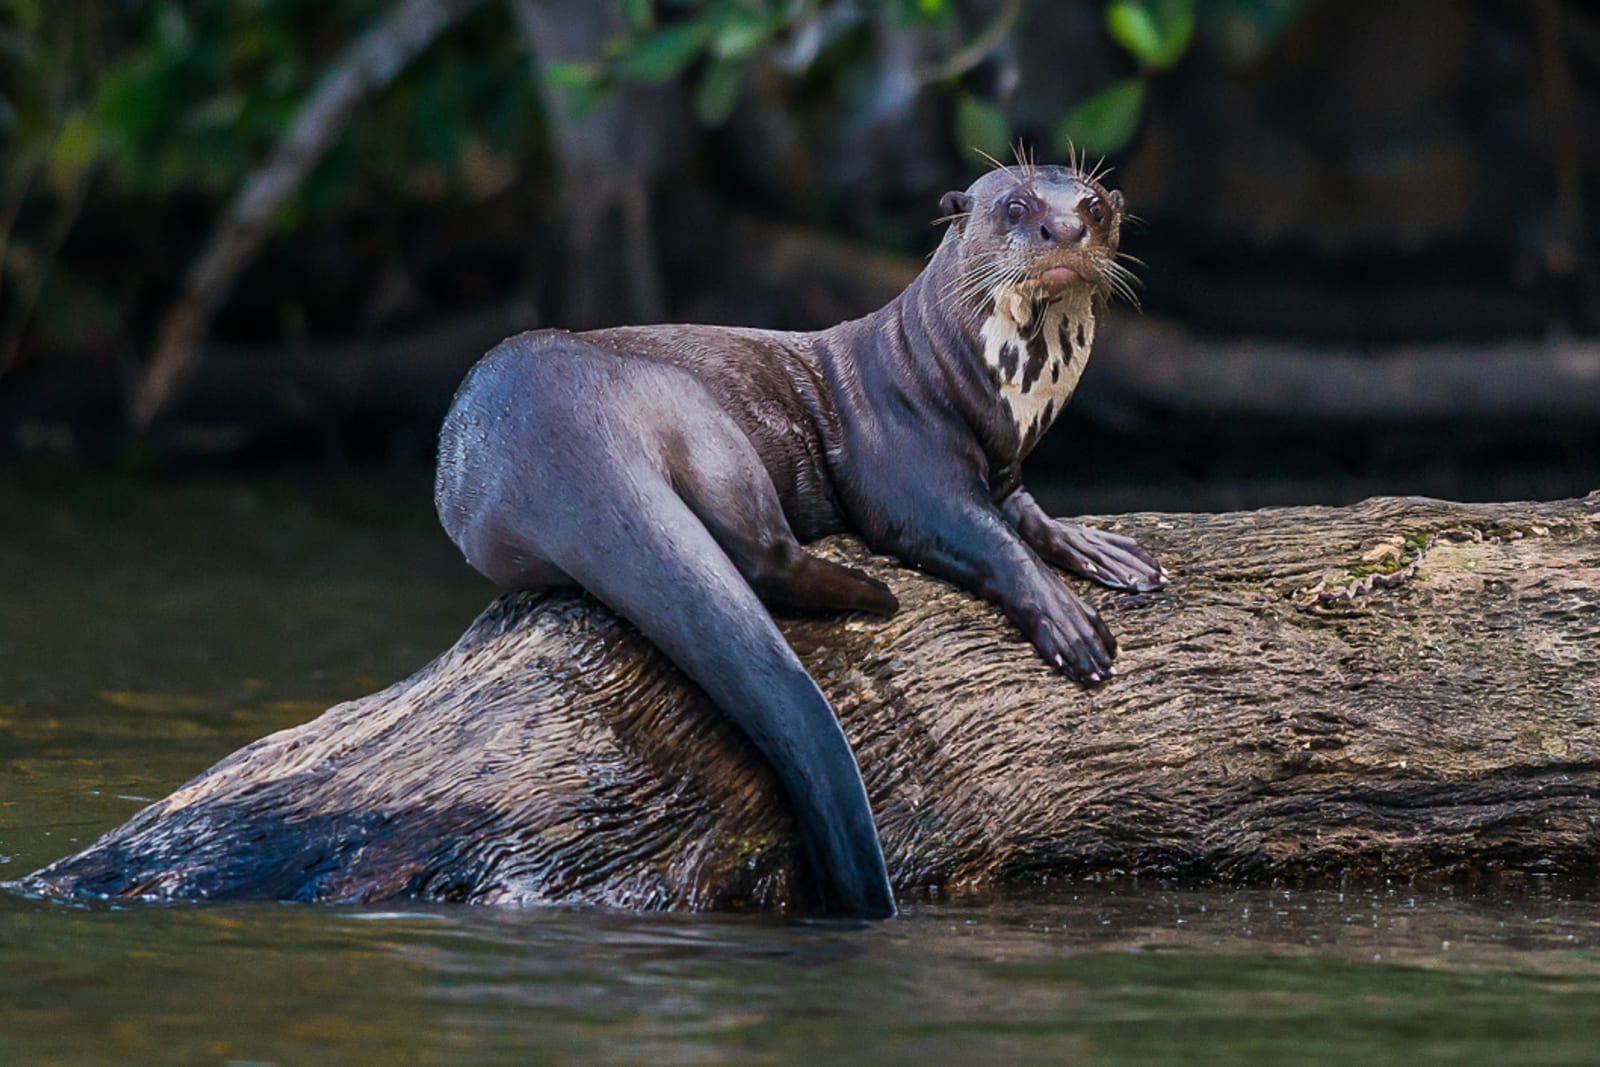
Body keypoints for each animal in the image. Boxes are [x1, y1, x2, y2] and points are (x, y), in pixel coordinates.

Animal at [434, 161, 1164, 918]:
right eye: (1016, 207)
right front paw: (1068, 621)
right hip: (695, 414)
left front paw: (1104, 551)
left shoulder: (1005, 467)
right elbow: (980, 536)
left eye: (1093, 206)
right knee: (761, 554)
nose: (1065, 229)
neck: (966, 382)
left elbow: (1027, 513)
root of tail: (548, 428)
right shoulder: (903, 466)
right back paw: (873, 594)